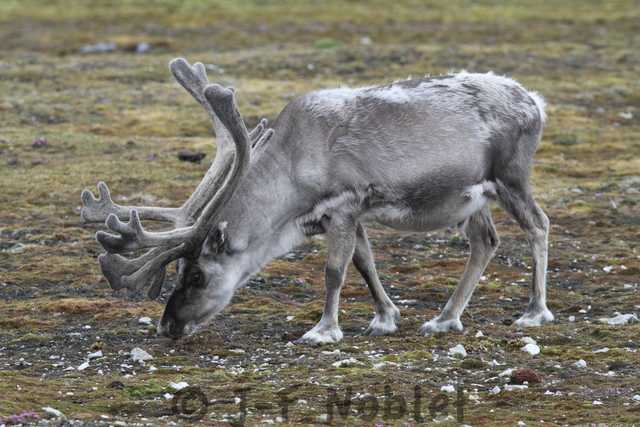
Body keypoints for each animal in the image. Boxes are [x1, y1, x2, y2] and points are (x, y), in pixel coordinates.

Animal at [80, 58, 553, 344]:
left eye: (197, 275)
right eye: (179, 271)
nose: (167, 325)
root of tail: (536, 101)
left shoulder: (343, 205)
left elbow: (334, 272)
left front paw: (324, 329)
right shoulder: (342, 216)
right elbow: (365, 263)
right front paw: (385, 317)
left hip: (510, 177)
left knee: (538, 224)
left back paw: (534, 311)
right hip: (473, 196)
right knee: (486, 241)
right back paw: (445, 317)